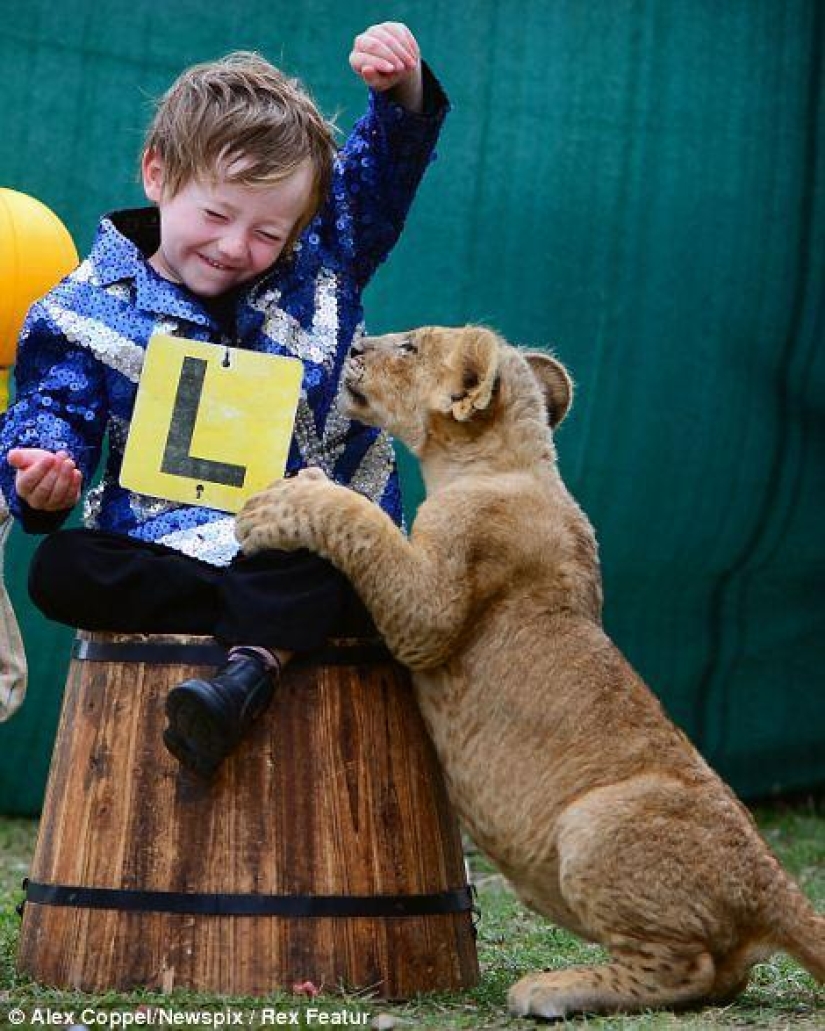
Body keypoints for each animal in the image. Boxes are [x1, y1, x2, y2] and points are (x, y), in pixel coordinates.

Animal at [235, 325, 825, 1019]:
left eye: (409, 348)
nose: (355, 345)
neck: (505, 463)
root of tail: (771, 883)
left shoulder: (429, 611)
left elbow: (367, 525)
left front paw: (286, 500)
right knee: (723, 979)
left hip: (594, 824)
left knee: (684, 968)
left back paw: (552, 989)